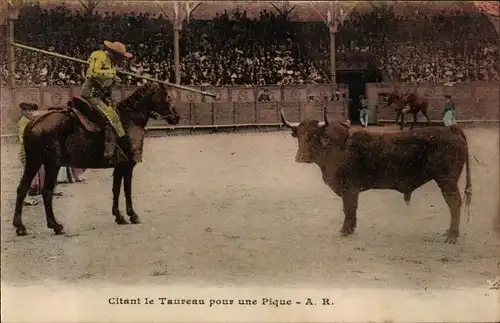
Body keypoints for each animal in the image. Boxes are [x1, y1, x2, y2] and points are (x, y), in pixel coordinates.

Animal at [12, 82, 182, 237]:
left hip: (34, 162)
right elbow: (126, 189)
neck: (129, 119)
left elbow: (116, 189)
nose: (177, 117)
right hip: (52, 164)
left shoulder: (119, 165)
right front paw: (132, 215)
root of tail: (33, 122)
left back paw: (20, 227)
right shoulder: (128, 165)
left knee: (22, 189)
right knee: (47, 192)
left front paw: (119, 216)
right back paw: (56, 225)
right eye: (167, 96)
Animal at [282, 110, 472, 244]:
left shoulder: (349, 188)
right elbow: (350, 209)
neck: (337, 146)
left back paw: (452, 236)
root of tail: (451, 129)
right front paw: (350, 228)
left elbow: (348, 208)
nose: (300, 157)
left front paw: (345, 230)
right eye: (298, 135)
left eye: (314, 135)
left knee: (454, 203)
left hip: (447, 181)